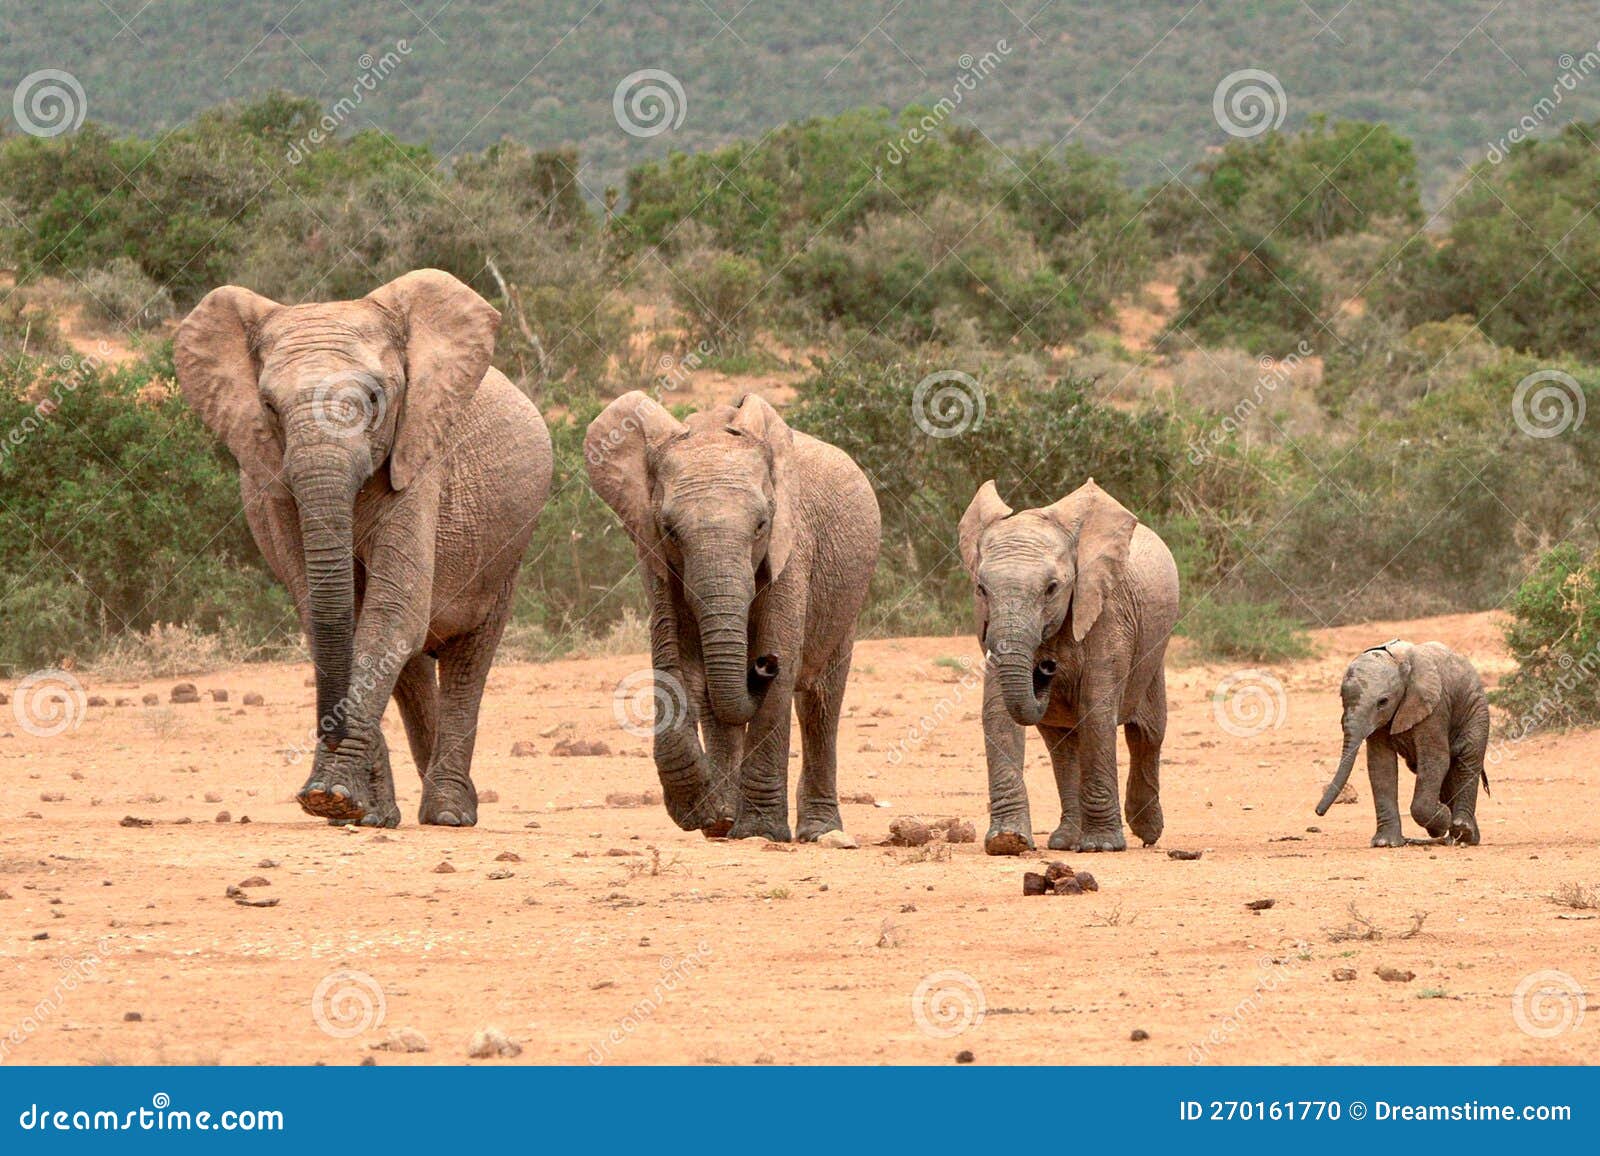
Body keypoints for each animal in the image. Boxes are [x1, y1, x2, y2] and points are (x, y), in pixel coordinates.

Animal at [176, 270, 556, 826]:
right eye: (268, 407)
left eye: (374, 399)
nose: (316, 791)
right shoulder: (274, 488)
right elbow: (334, 620)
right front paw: (344, 805)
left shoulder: (419, 459)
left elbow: (391, 614)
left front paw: (332, 795)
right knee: (412, 663)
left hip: (507, 548)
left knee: (468, 653)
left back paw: (448, 814)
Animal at [588, 387, 883, 838]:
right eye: (670, 530)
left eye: (761, 524)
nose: (762, 664)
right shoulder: (651, 552)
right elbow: (675, 661)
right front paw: (703, 814)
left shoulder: (791, 545)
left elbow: (783, 667)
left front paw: (760, 832)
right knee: (714, 696)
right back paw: (724, 822)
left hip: (848, 595)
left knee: (821, 700)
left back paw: (821, 832)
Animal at [953, 473, 1184, 851]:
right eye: (981, 589)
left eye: (1052, 588)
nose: (1046, 668)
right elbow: (998, 714)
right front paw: (1007, 842)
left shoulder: (1108, 611)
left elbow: (1097, 710)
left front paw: (1103, 846)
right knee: (1062, 745)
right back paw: (1065, 842)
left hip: (1154, 650)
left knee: (1148, 733)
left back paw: (1148, 833)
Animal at [1318, 634, 1491, 838]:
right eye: (1341, 697)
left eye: (1383, 702)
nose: (1318, 812)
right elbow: (1381, 765)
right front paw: (1386, 842)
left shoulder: (1435, 707)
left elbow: (1435, 761)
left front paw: (1441, 820)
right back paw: (1461, 836)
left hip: (1477, 710)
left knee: (1467, 760)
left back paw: (1463, 832)